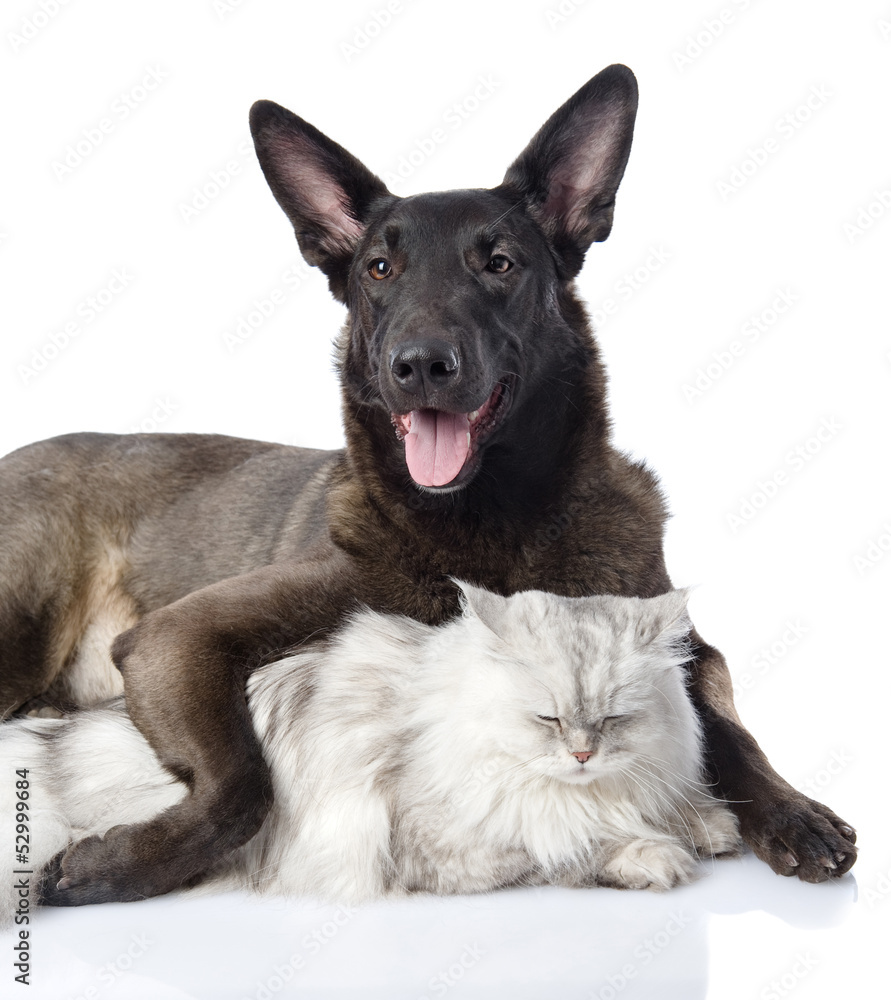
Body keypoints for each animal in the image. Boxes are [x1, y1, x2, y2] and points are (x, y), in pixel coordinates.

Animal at [0, 64, 856, 908]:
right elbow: (239, 784)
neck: (490, 527)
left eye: (499, 263)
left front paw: (791, 812)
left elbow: (725, 721)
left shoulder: (674, 642)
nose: (417, 364)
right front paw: (117, 865)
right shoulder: (175, 638)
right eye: (379, 269)